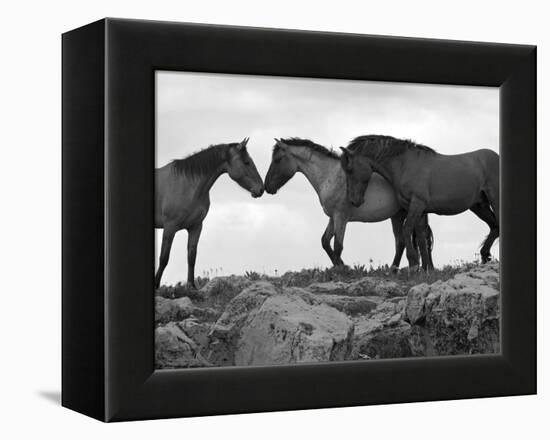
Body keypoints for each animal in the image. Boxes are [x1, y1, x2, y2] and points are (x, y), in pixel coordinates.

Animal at [155, 138, 266, 288]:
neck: (187, 185)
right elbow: (164, 258)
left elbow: (191, 256)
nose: (261, 189)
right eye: (247, 162)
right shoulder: (170, 227)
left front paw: (192, 287)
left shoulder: (196, 226)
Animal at [264, 138, 436, 270]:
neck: (330, 176)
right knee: (407, 241)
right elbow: (325, 242)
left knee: (416, 239)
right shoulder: (333, 217)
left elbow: (338, 245)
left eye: (277, 160)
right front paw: (340, 265)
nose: (267, 186)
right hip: (399, 215)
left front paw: (342, 268)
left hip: (409, 214)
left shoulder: (341, 216)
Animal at [340, 134, 500, 272]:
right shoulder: (419, 210)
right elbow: (422, 238)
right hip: (479, 206)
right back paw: (485, 255)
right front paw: (425, 269)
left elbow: (407, 230)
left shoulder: (417, 204)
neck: (405, 165)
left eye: (350, 169)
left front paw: (414, 263)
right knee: (494, 226)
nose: (354, 200)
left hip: (494, 200)